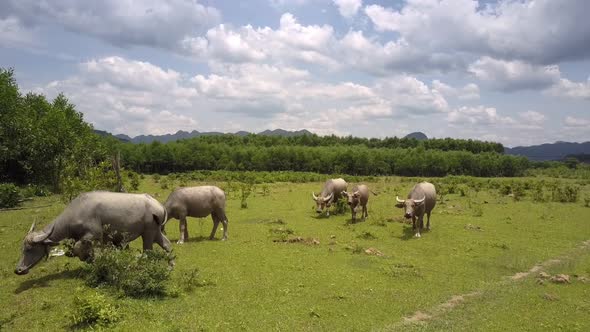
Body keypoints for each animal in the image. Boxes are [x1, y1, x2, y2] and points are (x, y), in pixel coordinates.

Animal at [15, 191, 172, 276]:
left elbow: (78, 248)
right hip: (155, 232)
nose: (18, 270)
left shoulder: (93, 235)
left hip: (148, 234)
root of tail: (158, 205)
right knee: (167, 245)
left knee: (148, 252)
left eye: (30, 249)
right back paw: (171, 266)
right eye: (22, 249)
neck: (75, 213)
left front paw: (90, 260)